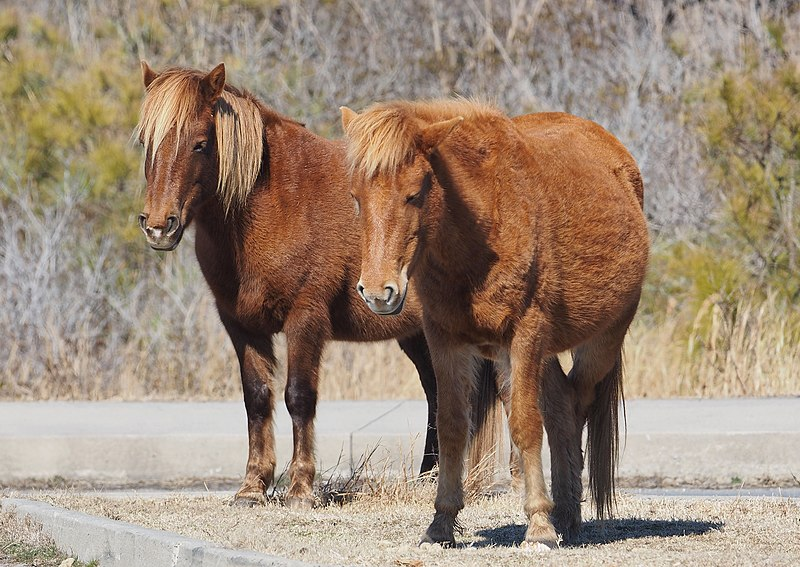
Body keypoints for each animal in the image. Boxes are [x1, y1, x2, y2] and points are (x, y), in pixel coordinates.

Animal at [137, 64, 500, 508]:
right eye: (146, 142)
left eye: (201, 144)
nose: (159, 226)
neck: (276, 202)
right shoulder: (241, 326)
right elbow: (257, 398)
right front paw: (252, 487)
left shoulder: (305, 319)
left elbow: (299, 396)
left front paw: (300, 488)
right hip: (418, 333)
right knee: (438, 394)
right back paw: (429, 479)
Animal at [340, 100, 648, 548]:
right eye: (357, 198)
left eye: (415, 194)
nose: (378, 293)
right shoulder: (446, 341)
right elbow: (452, 427)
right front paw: (441, 524)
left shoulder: (523, 338)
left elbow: (525, 426)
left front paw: (538, 527)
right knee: (562, 408)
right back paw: (566, 513)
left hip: (601, 344)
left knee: (575, 407)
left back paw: (565, 517)